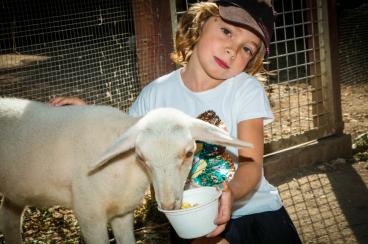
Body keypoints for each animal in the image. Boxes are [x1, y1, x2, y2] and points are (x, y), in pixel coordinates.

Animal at [0, 97, 253, 244]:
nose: (168, 205)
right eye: (141, 156)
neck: (126, 168)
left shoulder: (122, 213)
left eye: (190, 153)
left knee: (10, 216)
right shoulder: (89, 216)